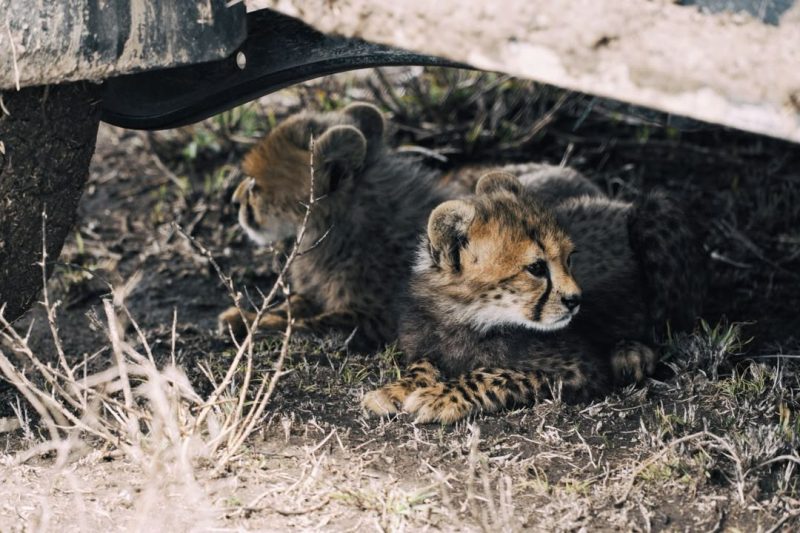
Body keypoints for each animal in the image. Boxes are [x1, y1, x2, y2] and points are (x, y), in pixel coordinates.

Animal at [218, 103, 461, 350]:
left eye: (255, 186)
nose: (234, 201)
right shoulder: (316, 294)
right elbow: (293, 305)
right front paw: (247, 316)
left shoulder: (378, 319)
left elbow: (308, 324)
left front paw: (252, 323)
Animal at [362, 168, 706, 423]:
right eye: (537, 268)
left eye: (569, 259)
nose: (575, 300)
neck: (467, 316)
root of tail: (620, 205)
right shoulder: (425, 342)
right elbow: (422, 364)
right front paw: (396, 389)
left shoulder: (580, 368)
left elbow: (496, 374)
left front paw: (440, 396)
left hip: (656, 211)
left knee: (673, 325)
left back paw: (632, 352)